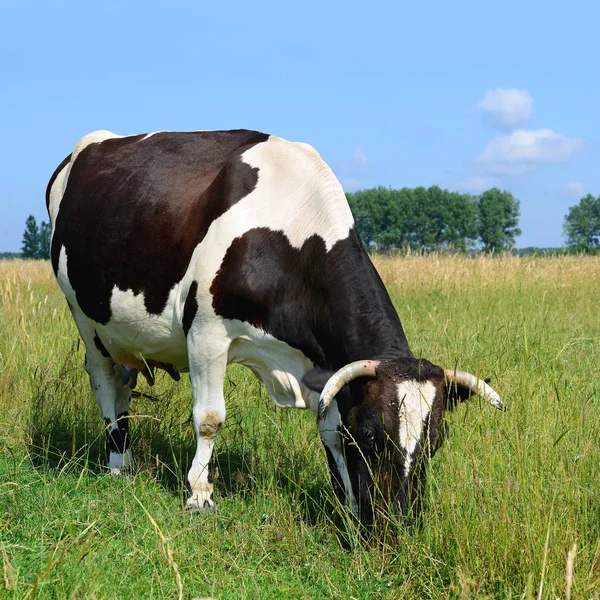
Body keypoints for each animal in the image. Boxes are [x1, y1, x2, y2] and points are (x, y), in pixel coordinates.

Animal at [47, 129, 504, 528]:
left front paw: (348, 506)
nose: (400, 524)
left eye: (436, 442)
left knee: (123, 385)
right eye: (371, 435)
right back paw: (117, 465)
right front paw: (199, 495)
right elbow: (209, 418)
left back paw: (125, 457)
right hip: (84, 317)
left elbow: (329, 431)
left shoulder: (326, 368)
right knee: (104, 383)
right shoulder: (206, 334)